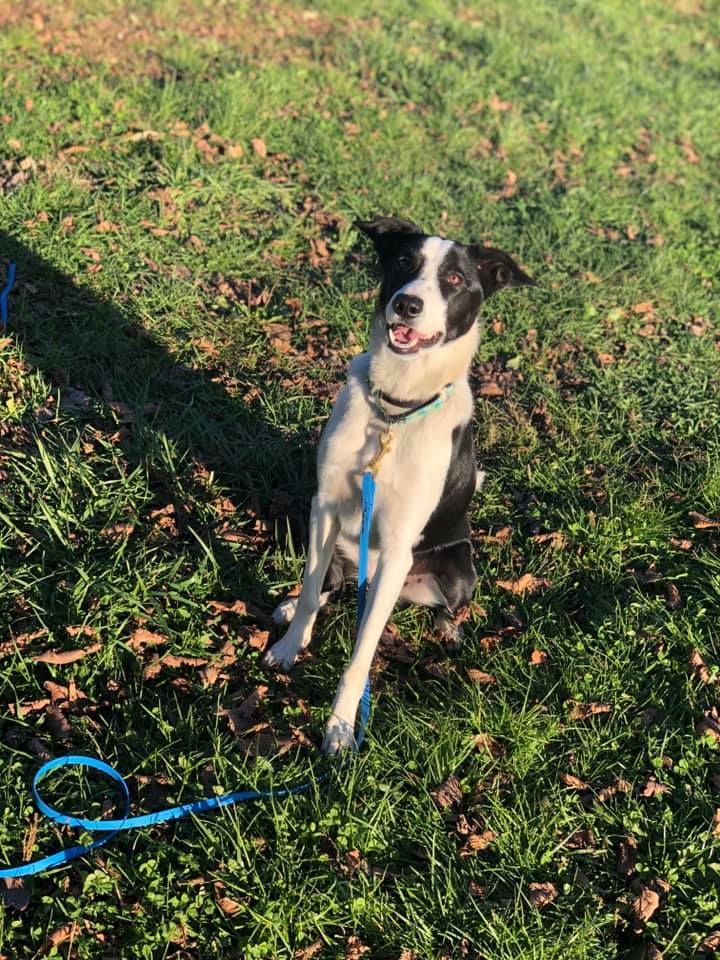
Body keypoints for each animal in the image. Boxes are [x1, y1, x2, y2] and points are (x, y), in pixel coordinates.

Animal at [262, 216, 536, 752]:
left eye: (454, 279)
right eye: (404, 263)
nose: (408, 303)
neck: (394, 410)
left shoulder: (395, 548)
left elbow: (361, 653)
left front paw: (341, 727)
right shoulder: (324, 506)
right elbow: (311, 588)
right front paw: (289, 646)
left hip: (455, 568)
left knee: (445, 606)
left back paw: (448, 631)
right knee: (327, 584)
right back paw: (291, 606)